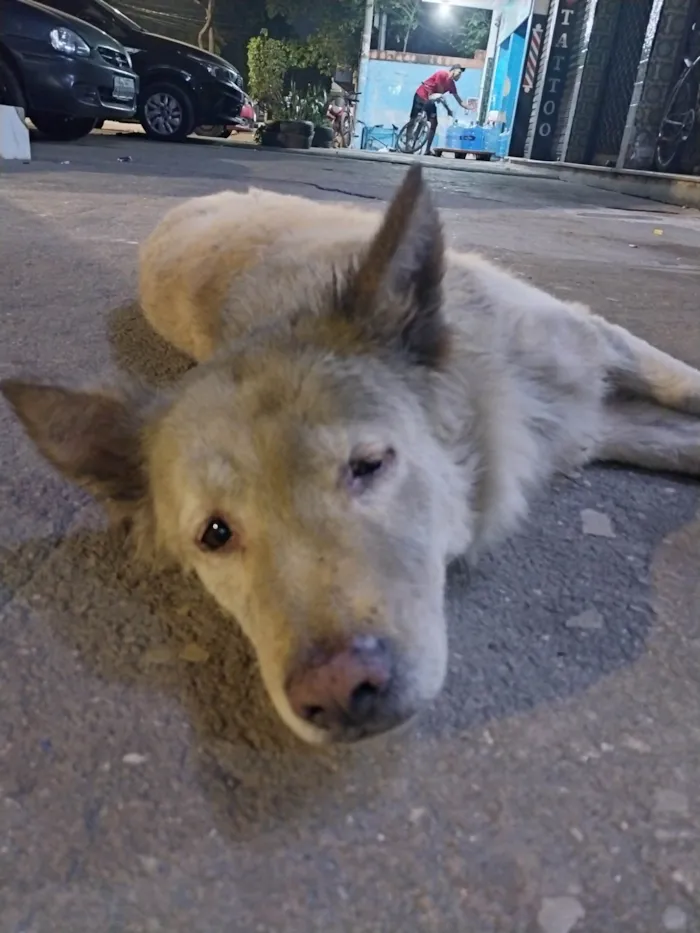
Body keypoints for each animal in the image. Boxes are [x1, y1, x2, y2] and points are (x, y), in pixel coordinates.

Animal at [4, 167, 700, 748]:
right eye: (216, 534)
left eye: (367, 465)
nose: (338, 692)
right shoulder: (593, 421)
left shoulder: (597, 345)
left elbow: (683, 386)